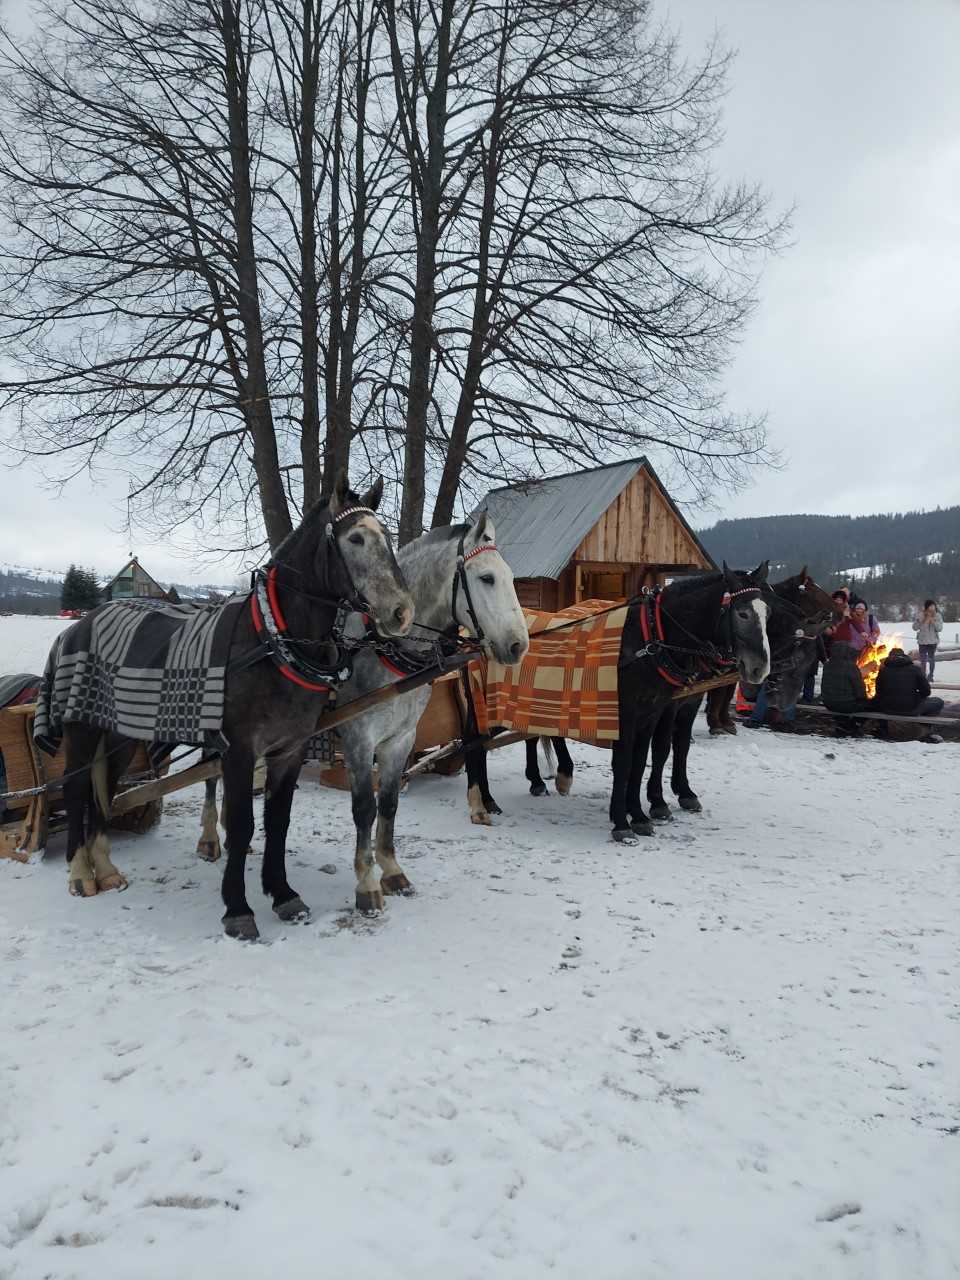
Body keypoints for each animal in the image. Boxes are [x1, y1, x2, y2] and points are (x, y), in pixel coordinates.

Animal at [51, 476, 414, 936]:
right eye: (355, 538)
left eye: (386, 537)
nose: (402, 612)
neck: (273, 640)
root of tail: (78, 626)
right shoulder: (240, 749)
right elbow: (242, 825)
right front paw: (238, 908)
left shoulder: (289, 749)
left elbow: (278, 822)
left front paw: (283, 894)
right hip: (82, 728)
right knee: (77, 788)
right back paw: (81, 873)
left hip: (119, 734)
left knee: (107, 789)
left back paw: (107, 870)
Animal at [465, 560, 773, 839]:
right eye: (742, 613)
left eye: (768, 612)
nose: (760, 668)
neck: (649, 638)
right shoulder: (625, 712)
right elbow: (629, 761)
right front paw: (627, 819)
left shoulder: (655, 711)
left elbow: (645, 759)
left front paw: (640, 814)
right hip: (489, 705)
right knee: (475, 744)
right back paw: (484, 802)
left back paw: (528, 786)